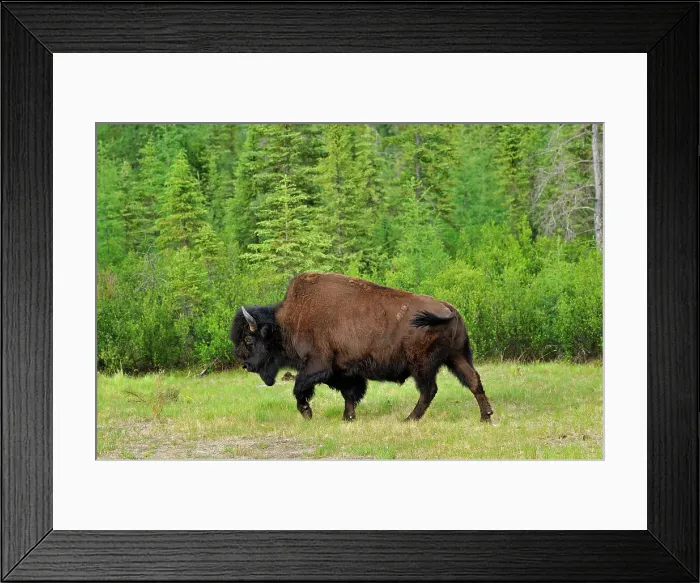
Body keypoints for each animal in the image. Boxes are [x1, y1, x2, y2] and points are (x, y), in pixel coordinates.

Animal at [230, 272, 493, 423]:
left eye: (248, 340)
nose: (245, 364)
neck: (287, 322)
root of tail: (449, 308)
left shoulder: (318, 366)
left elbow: (300, 387)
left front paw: (307, 413)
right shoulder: (346, 372)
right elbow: (350, 394)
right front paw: (348, 418)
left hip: (423, 365)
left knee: (429, 390)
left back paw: (409, 419)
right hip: (456, 356)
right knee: (473, 380)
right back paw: (486, 416)